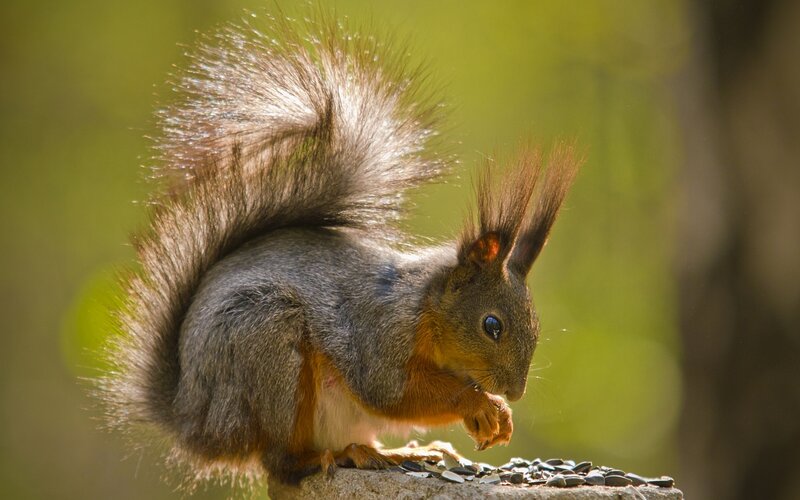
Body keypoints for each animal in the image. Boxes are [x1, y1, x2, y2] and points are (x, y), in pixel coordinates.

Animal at [99, 12, 580, 488]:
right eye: (491, 325)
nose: (515, 390)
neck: (424, 305)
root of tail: (194, 422)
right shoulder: (377, 334)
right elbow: (391, 392)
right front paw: (482, 405)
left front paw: (498, 414)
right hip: (268, 349)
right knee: (280, 461)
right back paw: (328, 457)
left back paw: (395, 451)